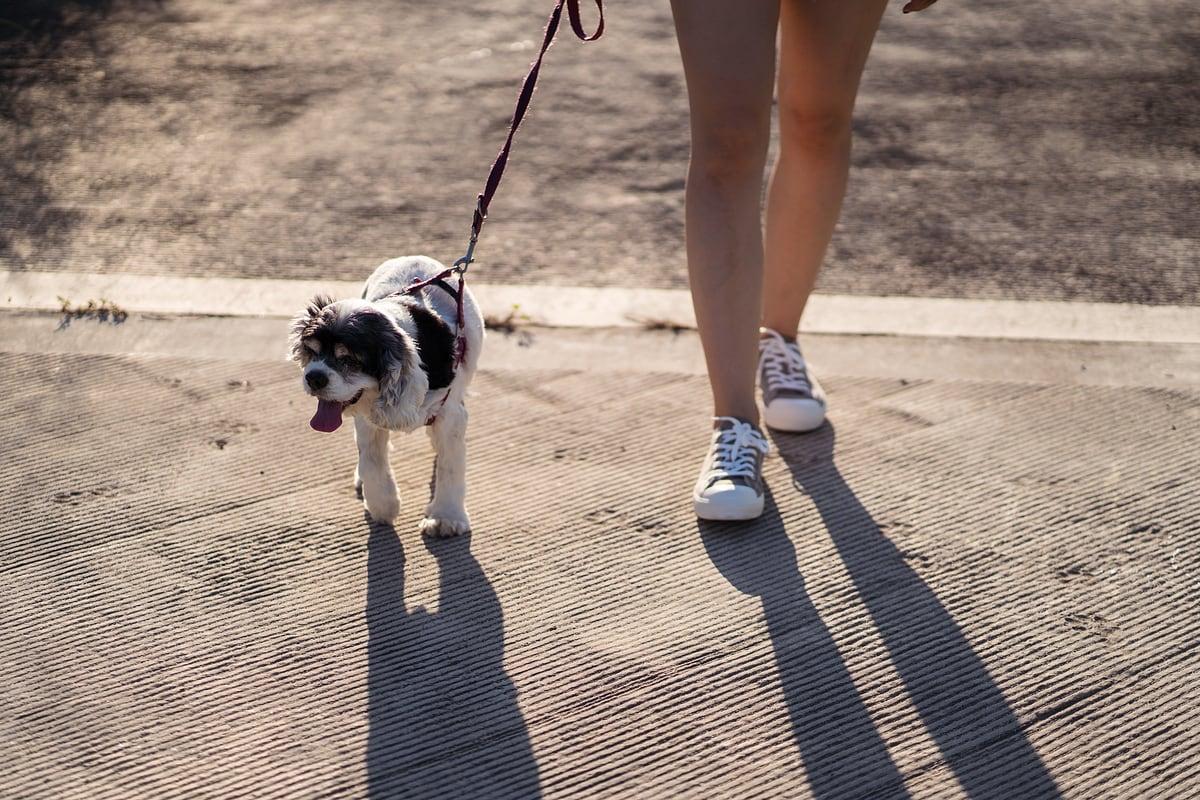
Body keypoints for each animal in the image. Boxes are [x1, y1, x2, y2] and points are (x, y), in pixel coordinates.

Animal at [289, 253, 482, 534]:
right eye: (311, 351)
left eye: (348, 359)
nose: (313, 377)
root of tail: (414, 256)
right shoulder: (367, 417)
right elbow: (372, 462)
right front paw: (384, 506)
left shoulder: (451, 415)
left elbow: (450, 466)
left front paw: (446, 518)